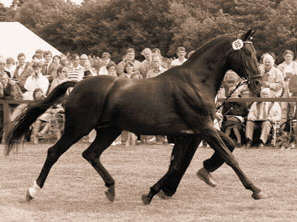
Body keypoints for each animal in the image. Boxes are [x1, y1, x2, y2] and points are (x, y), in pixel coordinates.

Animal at [5, 29, 262, 205]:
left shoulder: (192, 132)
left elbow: (181, 163)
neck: (195, 82)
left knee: (91, 154)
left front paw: (153, 192)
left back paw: (111, 188)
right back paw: (32, 191)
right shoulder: (203, 128)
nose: (258, 83)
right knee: (54, 153)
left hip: (109, 130)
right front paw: (255, 189)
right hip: (78, 127)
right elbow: (229, 157)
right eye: (248, 53)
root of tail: (77, 84)